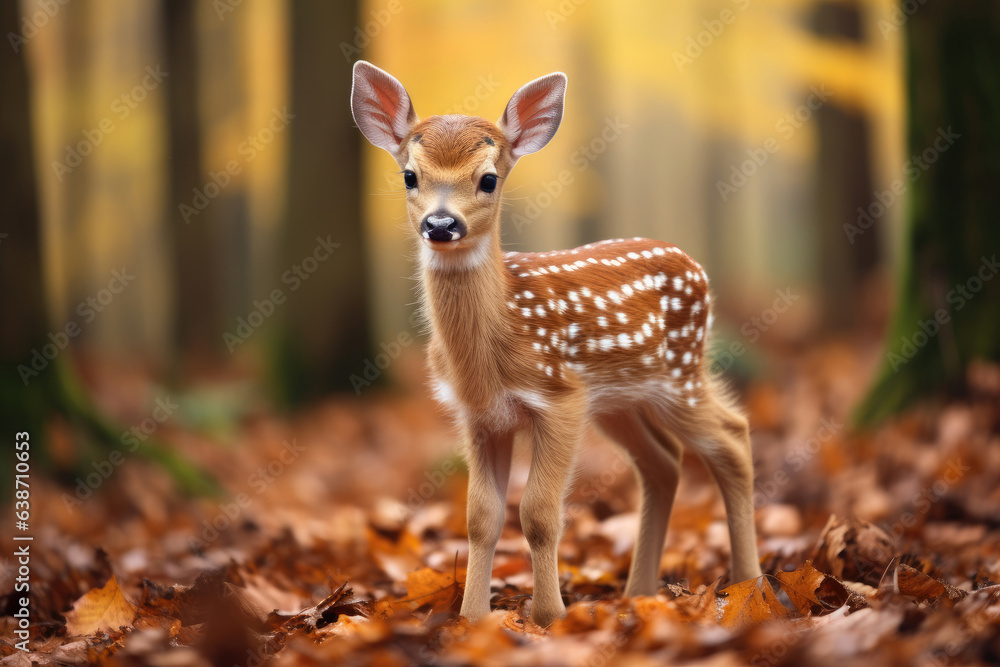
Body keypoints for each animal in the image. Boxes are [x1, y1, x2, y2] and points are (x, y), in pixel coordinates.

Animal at [350, 61, 762, 627]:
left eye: (488, 179)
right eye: (410, 175)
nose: (441, 223)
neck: (495, 342)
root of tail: (696, 268)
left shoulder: (560, 398)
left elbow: (540, 514)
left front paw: (549, 617)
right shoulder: (480, 416)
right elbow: (481, 516)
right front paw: (473, 618)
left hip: (680, 372)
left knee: (732, 436)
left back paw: (750, 583)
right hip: (620, 401)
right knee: (664, 461)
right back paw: (638, 593)